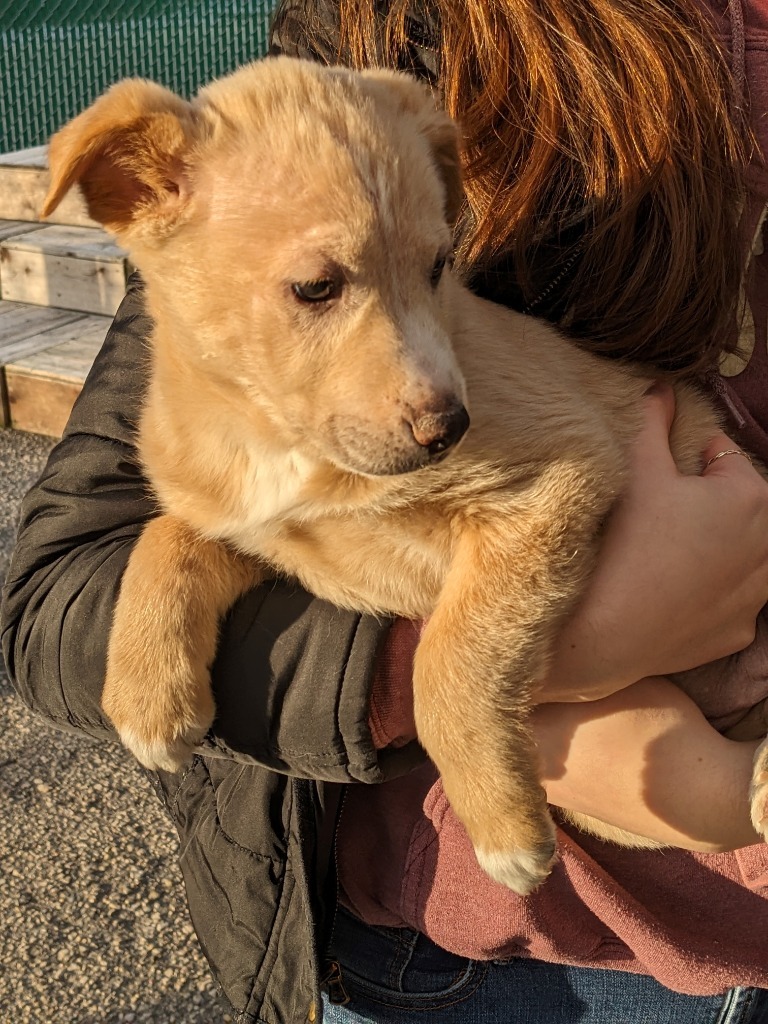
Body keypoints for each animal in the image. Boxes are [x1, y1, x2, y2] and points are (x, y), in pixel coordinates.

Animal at [43, 56, 768, 892]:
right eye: (316, 286)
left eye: (437, 267)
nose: (450, 428)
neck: (280, 444)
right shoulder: (266, 534)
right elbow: (166, 538)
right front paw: (145, 693)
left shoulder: (558, 475)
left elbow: (449, 658)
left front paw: (503, 827)